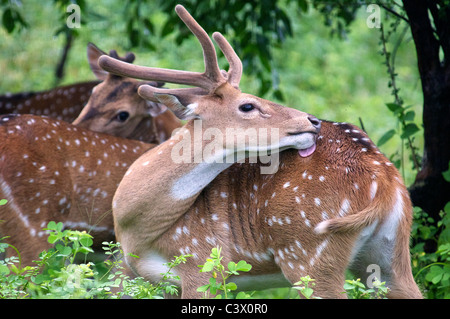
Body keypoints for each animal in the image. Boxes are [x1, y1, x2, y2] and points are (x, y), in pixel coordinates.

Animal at [98, 5, 422, 300]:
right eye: (248, 105)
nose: (313, 120)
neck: (134, 226)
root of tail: (384, 179)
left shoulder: (202, 263)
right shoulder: (128, 270)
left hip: (310, 253)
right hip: (390, 253)